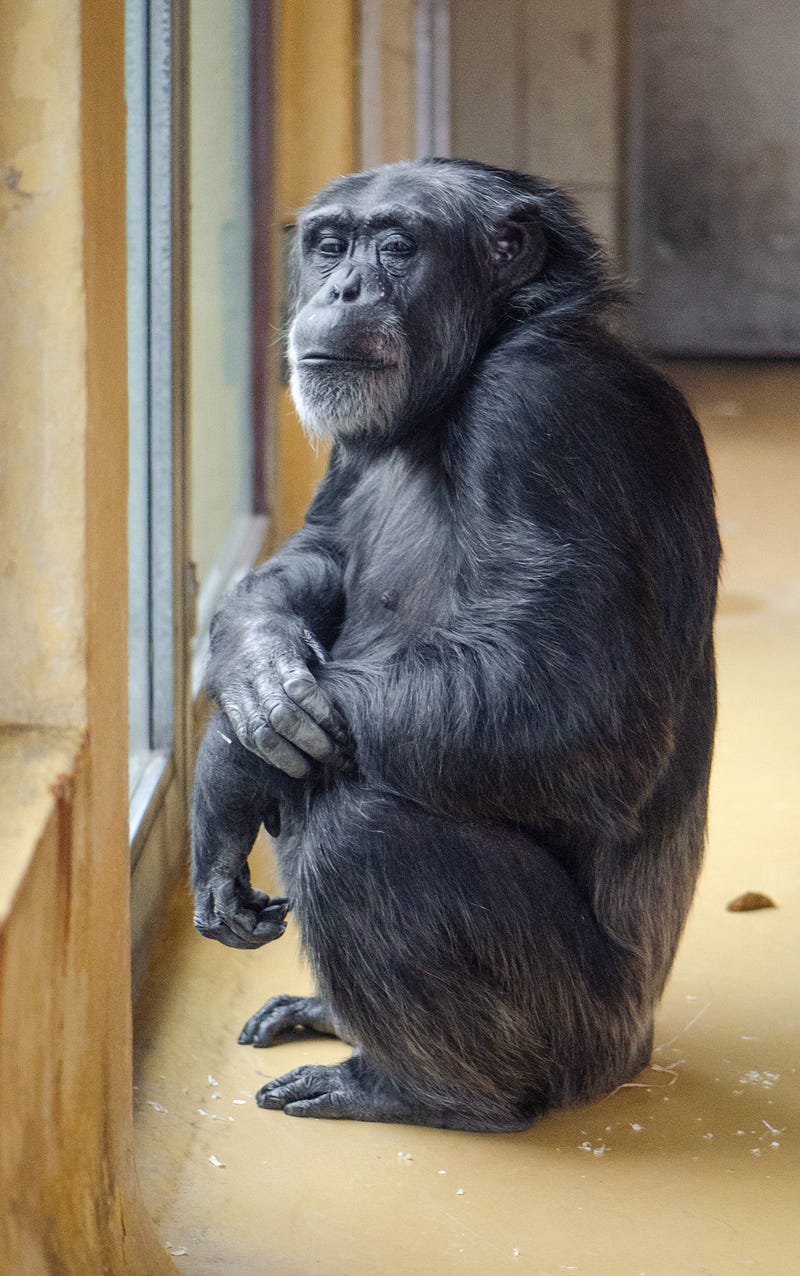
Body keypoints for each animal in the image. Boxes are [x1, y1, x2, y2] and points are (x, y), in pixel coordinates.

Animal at [191, 154, 724, 1133]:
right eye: (332, 245)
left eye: (399, 247)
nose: (345, 287)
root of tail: (636, 1051)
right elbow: (319, 549)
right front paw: (251, 672)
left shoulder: (543, 413)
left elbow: (573, 703)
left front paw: (222, 767)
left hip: (580, 1032)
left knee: (359, 830)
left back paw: (413, 1088)